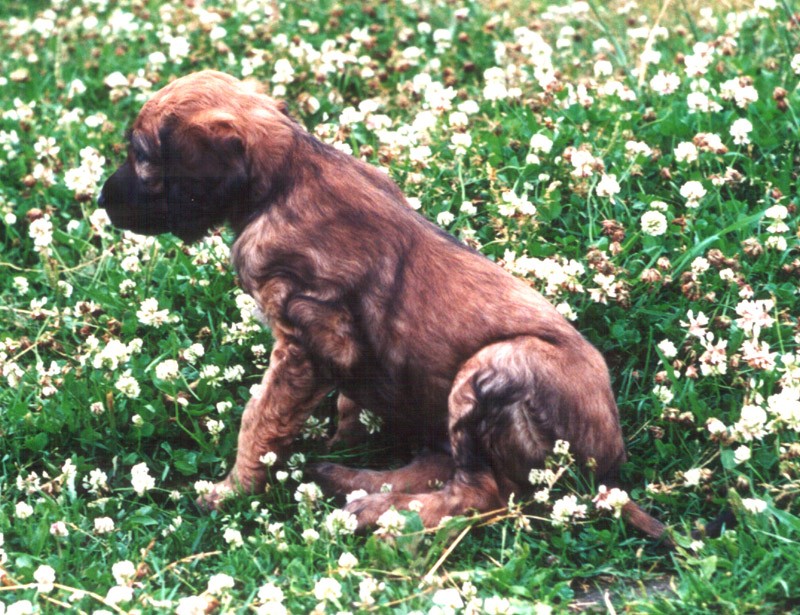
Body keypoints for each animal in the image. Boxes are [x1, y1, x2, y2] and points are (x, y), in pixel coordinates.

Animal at [100, 71, 664, 540]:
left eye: (142, 154)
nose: (102, 202)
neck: (285, 178)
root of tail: (609, 472)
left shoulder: (311, 342)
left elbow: (258, 422)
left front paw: (231, 491)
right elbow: (344, 407)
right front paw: (334, 442)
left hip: (498, 363)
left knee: (481, 494)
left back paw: (374, 512)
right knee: (442, 467)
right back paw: (343, 478)